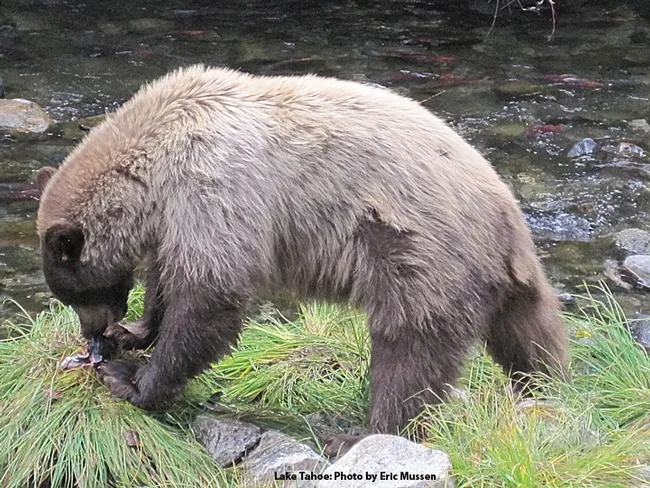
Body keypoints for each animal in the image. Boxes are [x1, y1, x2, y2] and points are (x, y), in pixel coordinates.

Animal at [36, 64, 567, 447]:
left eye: (72, 292)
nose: (93, 336)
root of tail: (508, 218)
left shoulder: (213, 187)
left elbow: (212, 295)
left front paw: (133, 379)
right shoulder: (179, 216)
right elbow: (170, 276)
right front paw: (136, 331)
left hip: (421, 255)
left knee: (410, 350)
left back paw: (362, 434)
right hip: (502, 277)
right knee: (532, 336)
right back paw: (545, 385)